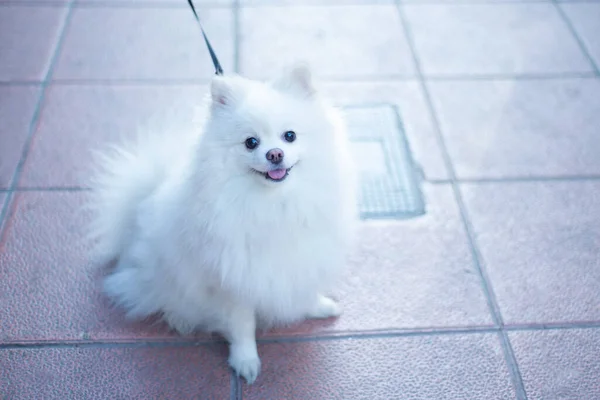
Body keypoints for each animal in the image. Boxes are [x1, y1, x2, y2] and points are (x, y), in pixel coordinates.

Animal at [87, 65, 358, 384]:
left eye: (289, 136)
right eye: (251, 142)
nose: (275, 153)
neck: (273, 204)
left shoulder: (301, 259)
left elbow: (301, 286)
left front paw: (317, 306)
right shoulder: (230, 280)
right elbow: (242, 326)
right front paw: (246, 362)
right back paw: (179, 317)